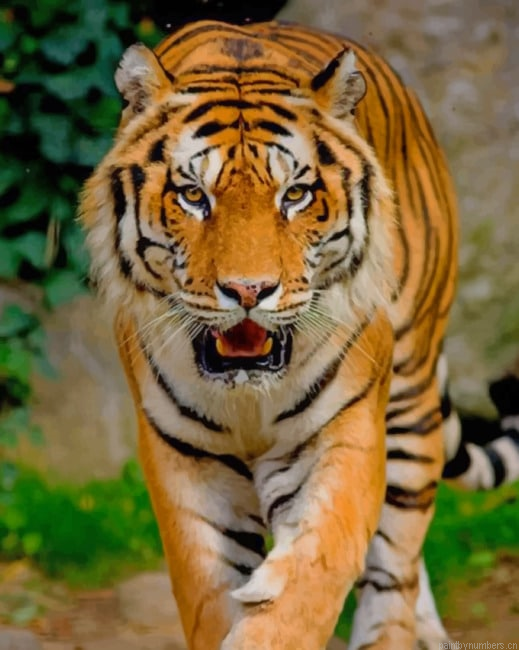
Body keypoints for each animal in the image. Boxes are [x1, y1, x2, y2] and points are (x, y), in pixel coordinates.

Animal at [79, 18, 518, 650]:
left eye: (295, 195)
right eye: (193, 195)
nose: (248, 290)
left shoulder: (344, 436)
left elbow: (308, 584)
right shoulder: (186, 464)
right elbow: (210, 596)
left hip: (409, 401)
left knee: (396, 563)